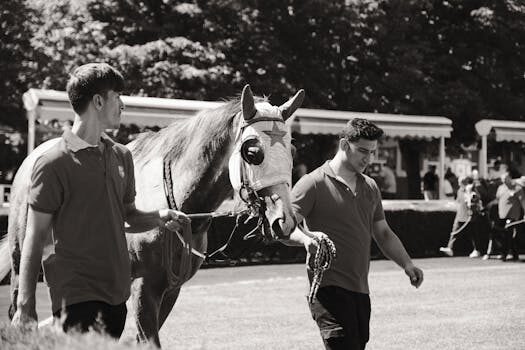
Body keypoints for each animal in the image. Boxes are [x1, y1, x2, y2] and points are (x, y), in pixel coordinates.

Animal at [1, 85, 302, 348]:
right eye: (252, 151)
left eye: (292, 150)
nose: (284, 220)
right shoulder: (144, 286)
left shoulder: (170, 288)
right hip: (22, 256)